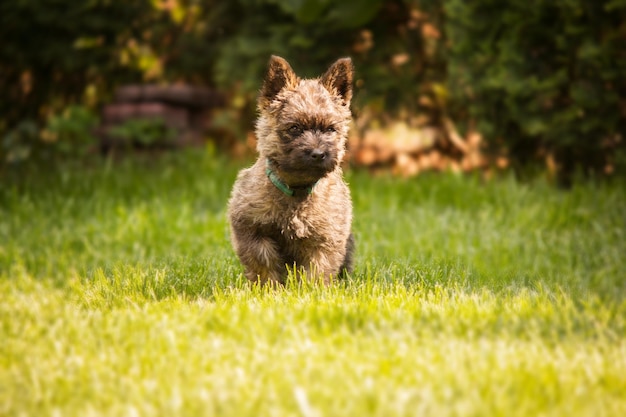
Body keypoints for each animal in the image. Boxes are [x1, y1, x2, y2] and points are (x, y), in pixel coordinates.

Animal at [227, 54, 354, 282]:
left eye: (331, 129)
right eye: (294, 128)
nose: (318, 154)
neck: (296, 189)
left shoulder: (326, 239)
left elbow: (317, 270)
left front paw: (312, 288)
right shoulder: (251, 228)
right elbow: (264, 262)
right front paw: (268, 287)